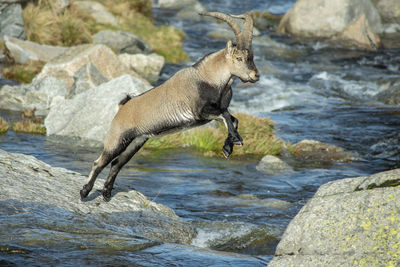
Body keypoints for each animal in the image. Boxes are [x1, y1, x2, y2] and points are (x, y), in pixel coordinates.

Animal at [80, 11, 260, 202]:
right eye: (239, 58)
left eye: (252, 57)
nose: (255, 75)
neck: (210, 80)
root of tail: (123, 107)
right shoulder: (200, 112)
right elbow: (226, 115)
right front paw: (235, 141)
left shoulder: (212, 113)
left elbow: (233, 119)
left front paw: (228, 147)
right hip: (118, 138)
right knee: (100, 162)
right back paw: (84, 192)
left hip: (136, 141)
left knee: (116, 164)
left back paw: (106, 194)